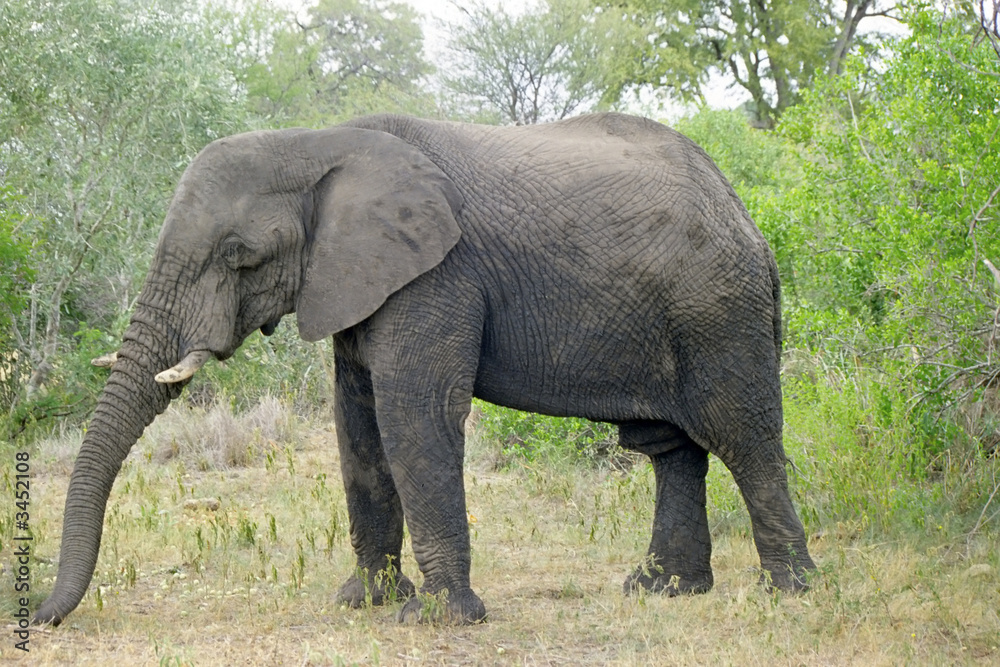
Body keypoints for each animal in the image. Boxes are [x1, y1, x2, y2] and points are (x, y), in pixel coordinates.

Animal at [35, 111, 816, 628]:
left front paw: (441, 619)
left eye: (239, 255)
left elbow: (415, 413)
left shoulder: (436, 275)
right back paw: (663, 592)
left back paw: (790, 593)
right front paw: (366, 603)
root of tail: (749, 221)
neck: (317, 141)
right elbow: (356, 424)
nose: (37, 613)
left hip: (718, 308)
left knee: (743, 435)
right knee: (670, 447)